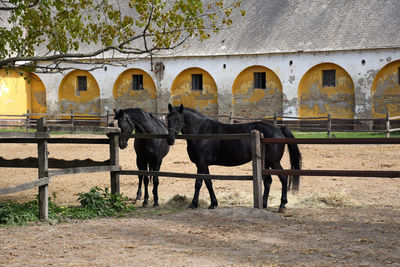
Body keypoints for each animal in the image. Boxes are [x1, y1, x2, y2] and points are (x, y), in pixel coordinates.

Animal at [165, 103, 300, 213]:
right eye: (167, 119)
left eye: (179, 119)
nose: (170, 139)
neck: (201, 131)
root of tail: (279, 129)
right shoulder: (204, 164)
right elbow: (208, 182)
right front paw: (213, 204)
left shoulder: (201, 164)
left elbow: (198, 183)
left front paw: (193, 204)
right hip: (266, 162)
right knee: (268, 181)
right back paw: (264, 204)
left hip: (274, 162)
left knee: (283, 178)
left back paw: (282, 205)